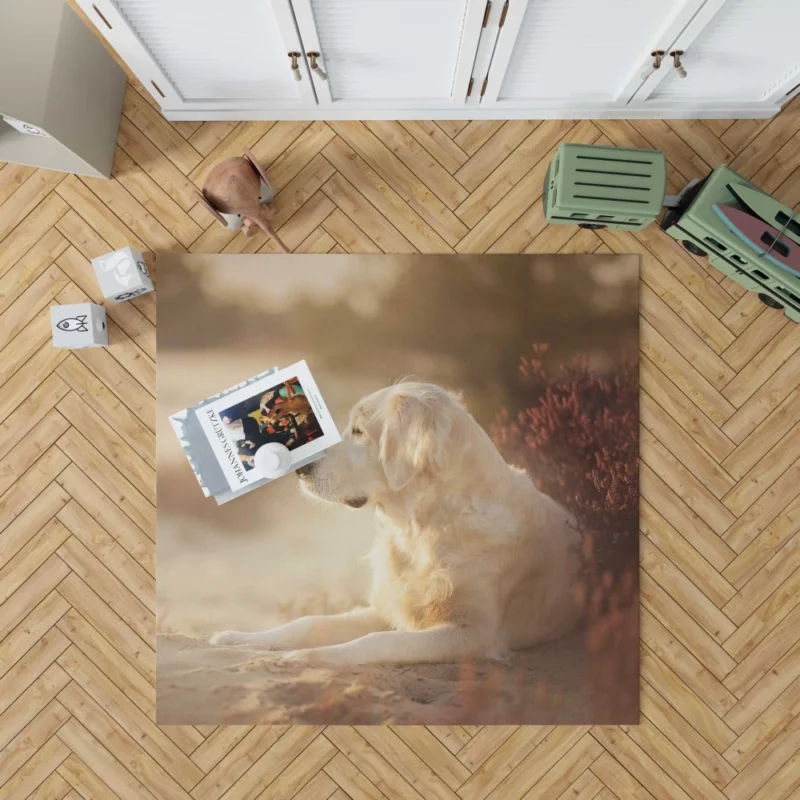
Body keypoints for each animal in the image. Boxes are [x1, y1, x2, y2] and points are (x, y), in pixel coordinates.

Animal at [208, 384, 580, 664]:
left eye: (359, 432)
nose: (299, 467)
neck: (421, 528)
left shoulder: (473, 633)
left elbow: (377, 641)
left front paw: (314, 657)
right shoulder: (389, 608)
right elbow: (308, 622)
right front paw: (240, 638)